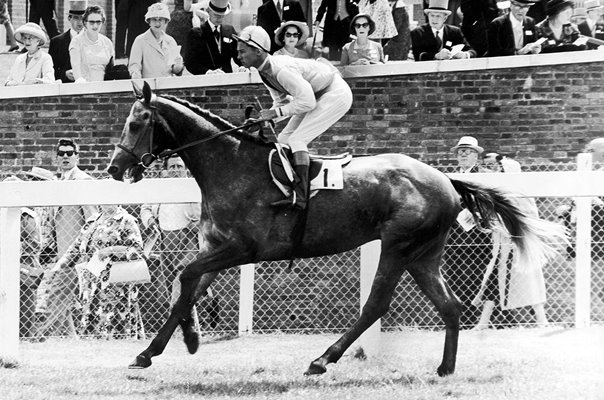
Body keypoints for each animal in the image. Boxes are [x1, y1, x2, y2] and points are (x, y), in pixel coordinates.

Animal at [106, 82, 564, 378]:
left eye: (137, 123)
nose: (114, 168)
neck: (231, 164)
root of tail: (447, 181)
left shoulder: (243, 249)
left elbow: (185, 277)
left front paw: (183, 339)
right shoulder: (217, 247)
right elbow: (186, 289)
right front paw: (160, 348)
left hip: (398, 246)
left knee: (375, 305)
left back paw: (322, 360)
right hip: (424, 254)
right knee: (449, 307)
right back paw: (445, 369)